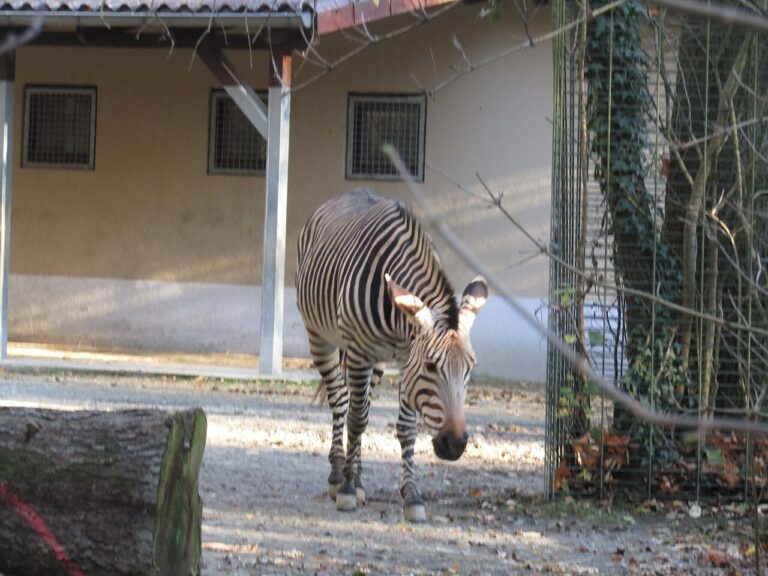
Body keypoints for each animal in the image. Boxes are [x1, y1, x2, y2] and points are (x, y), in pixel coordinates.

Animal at [296, 188, 487, 522]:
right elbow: (357, 419)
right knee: (341, 400)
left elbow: (406, 429)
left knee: (358, 402)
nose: (454, 445)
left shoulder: (403, 359)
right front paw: (347, 490)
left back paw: (358, 477)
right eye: (431, 366)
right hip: (321, 338)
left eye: (470, 368)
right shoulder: (361, 352)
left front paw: (411, 494)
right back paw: (339, 474)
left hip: (378, 361)